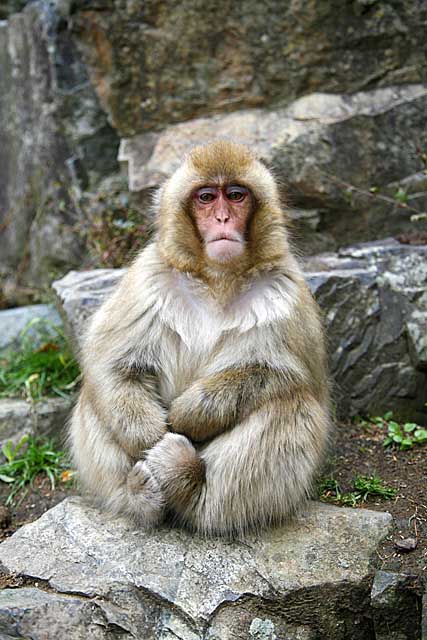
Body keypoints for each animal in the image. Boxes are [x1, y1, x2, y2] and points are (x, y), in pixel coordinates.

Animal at [69, 140, 332, 536]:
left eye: (236, 195)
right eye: (206, 197)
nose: (222, 219)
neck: (217, 279)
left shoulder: (284, 290)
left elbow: (284, 374)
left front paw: (189, 414)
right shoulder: (148, 277)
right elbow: (112, 362)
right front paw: (150, 435)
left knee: (289, 405)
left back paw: (191, 484)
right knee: (95, 397)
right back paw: (135, 495)